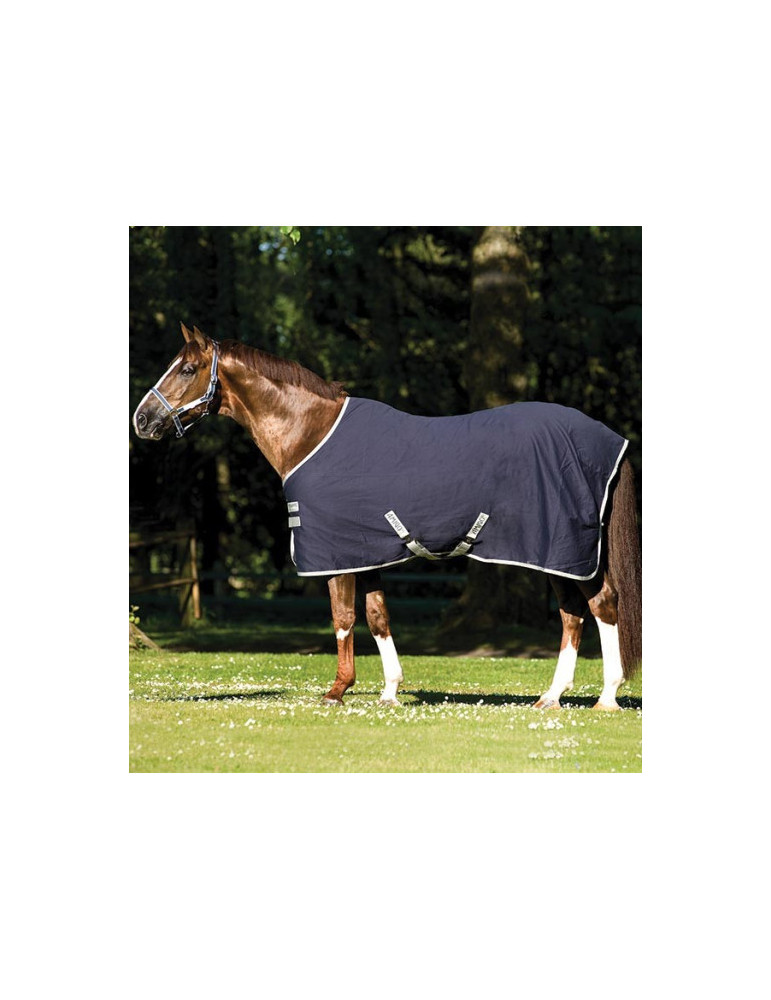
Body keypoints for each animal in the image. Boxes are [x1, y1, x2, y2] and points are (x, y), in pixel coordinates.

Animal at [133, 323, 641, 710]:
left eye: (187, 368)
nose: (142, 419)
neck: (312, 433)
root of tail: (608, 439)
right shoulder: (368, 552)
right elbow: (377, 616)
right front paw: (390, 691)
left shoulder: (336, 554)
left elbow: (342, 618)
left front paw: (337, 691)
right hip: (557, 555)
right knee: (573, 616)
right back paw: (551, 697)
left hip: (565, 550)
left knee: (601, 607)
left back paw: (606, 698)